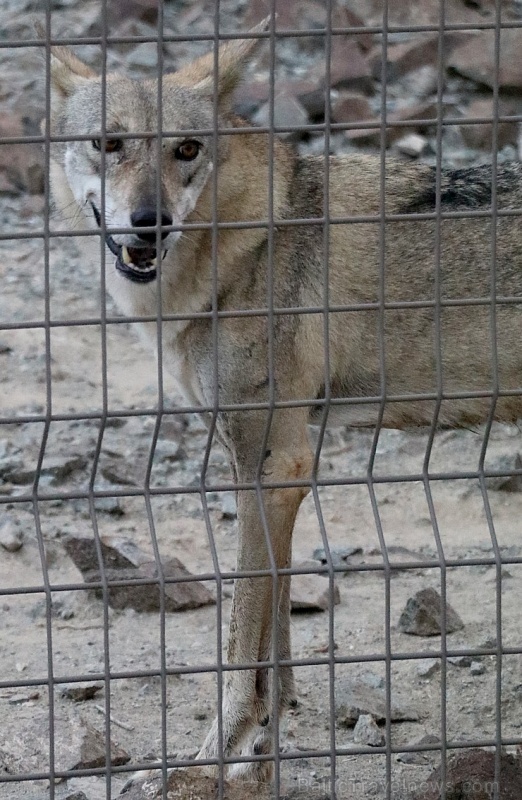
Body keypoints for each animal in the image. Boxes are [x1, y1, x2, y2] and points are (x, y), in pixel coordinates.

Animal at [42, 21, 520, 784]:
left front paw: (217, 752)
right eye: (108, 142)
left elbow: (242, 634)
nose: (149, 222)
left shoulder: (274, 462)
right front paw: (272, 726)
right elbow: (274, 623)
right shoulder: (278, 461)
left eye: (186, 149)